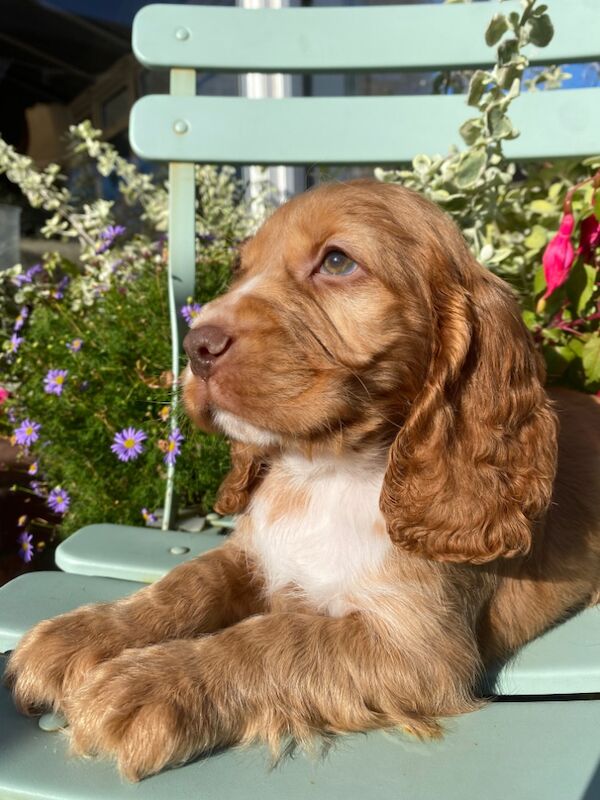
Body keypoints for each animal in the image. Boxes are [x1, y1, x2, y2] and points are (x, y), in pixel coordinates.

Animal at [5, 181, 600, 780]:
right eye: (241, 269)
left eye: (337, 262)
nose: (196, 346)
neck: (325, 472)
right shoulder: (253, 551)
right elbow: (186, 584)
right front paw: (83, 635)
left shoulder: (420, 650)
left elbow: (272, 639)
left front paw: (146, 684)